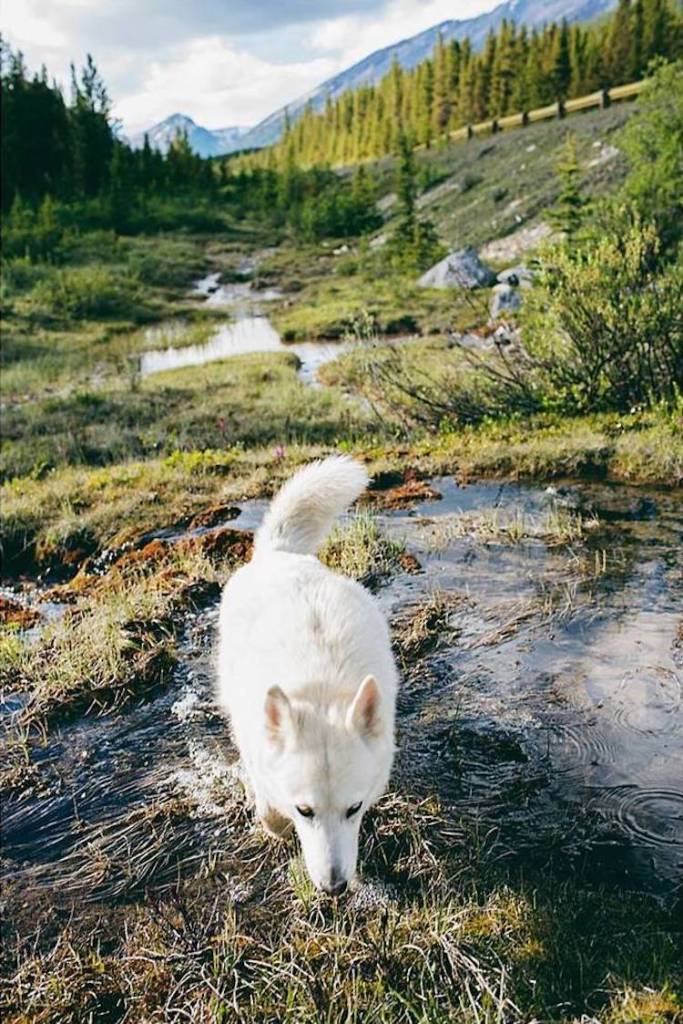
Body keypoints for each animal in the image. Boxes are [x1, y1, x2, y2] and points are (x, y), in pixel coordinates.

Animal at [219, 456, 397, 897]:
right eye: (305, 810)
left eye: (354, 808)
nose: (334, 888)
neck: (320, 691)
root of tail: (279, 554)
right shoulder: (256, 749)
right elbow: (268, 808)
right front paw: (277, 827)